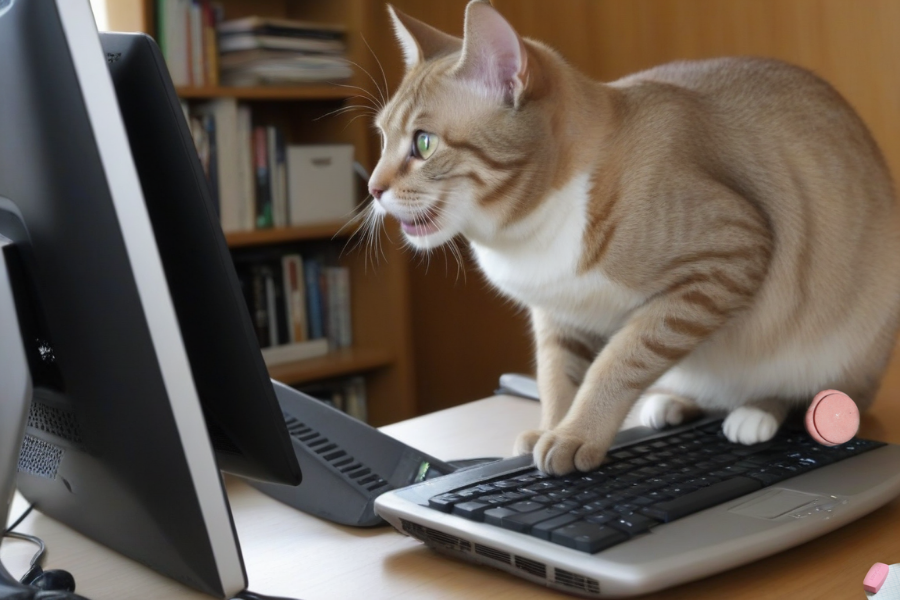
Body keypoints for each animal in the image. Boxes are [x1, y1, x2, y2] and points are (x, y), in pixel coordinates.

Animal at [362, 1, 900, 474]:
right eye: (383, 138)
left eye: (423, 144)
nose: (372, 188)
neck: (527, 238)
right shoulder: (558, 315)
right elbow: (558, 379)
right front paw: (552, 427)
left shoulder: (729, 256)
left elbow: (618, 361)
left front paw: (576, 435)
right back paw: (672, 402)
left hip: (834, 348)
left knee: (801, 391)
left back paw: (755, 412)